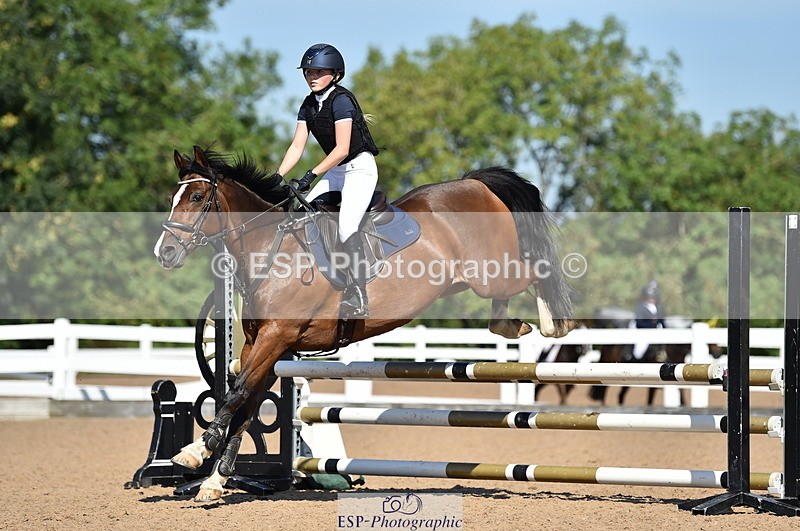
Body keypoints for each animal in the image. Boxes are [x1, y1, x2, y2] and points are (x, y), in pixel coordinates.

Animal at [154, 146, 576, 501]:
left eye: (196, 198)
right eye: (173, 197)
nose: (165, 252)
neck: (270, 251)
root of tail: (475, 183)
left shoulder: (276, 339)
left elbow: (237, 393)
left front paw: (194, 451)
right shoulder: (267, 346)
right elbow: (245, 402)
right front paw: (213, 481)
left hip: (490, 273)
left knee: (537, 268)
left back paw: (555, 325)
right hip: (481, 277)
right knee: (505, 301)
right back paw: (514, 327)